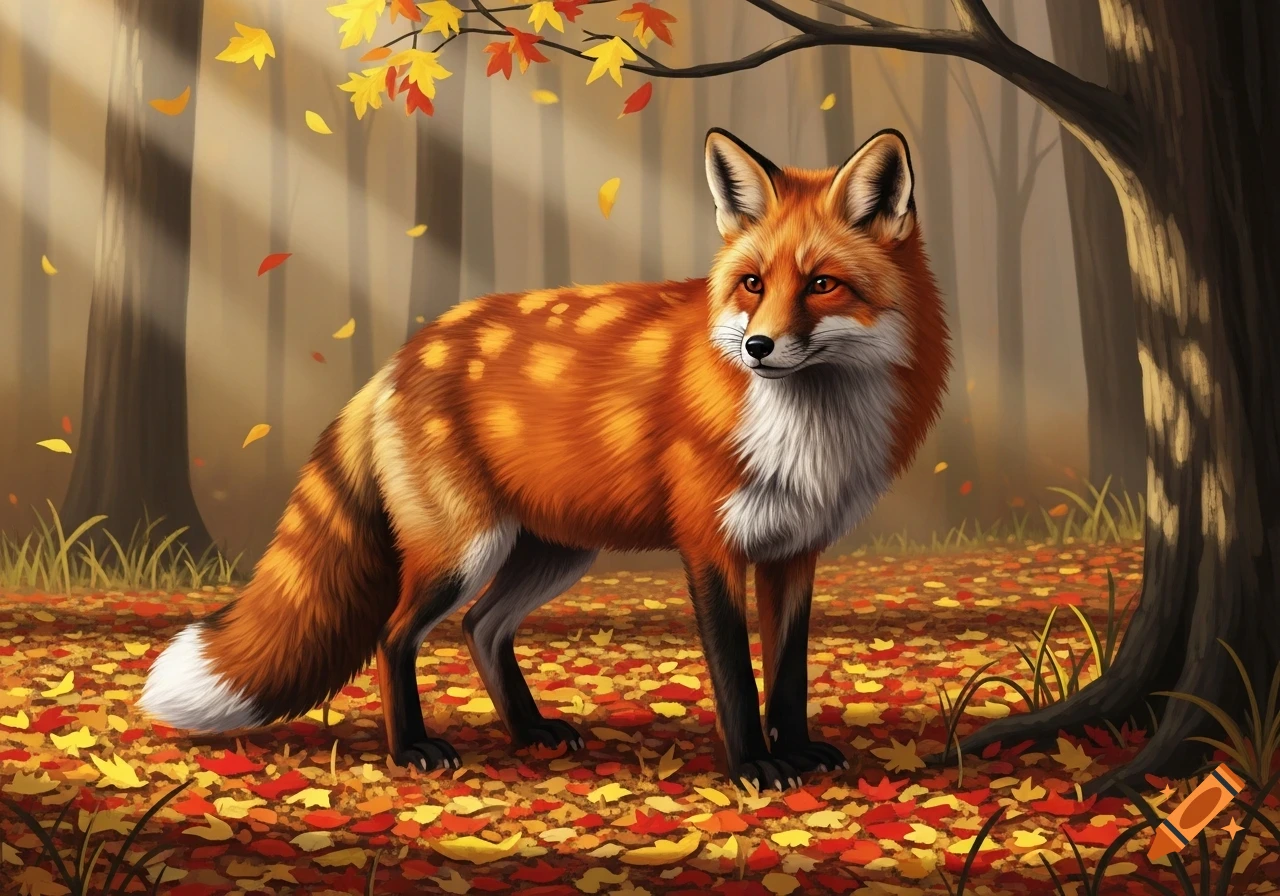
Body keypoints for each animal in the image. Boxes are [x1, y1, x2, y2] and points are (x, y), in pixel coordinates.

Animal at [140, 127, 949, 791]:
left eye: (822, 284)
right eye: (753, 283)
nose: (757, 347)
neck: (805, 433)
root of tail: (404, 354)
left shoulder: (795, 551)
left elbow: (788, 673)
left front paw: (799, 751)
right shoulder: (710, 546)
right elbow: (734, 678)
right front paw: (754, 766)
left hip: (552, 552)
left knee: (482, 627)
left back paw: (529, 730)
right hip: (464, 550)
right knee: (395, 635)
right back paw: (412, 750)